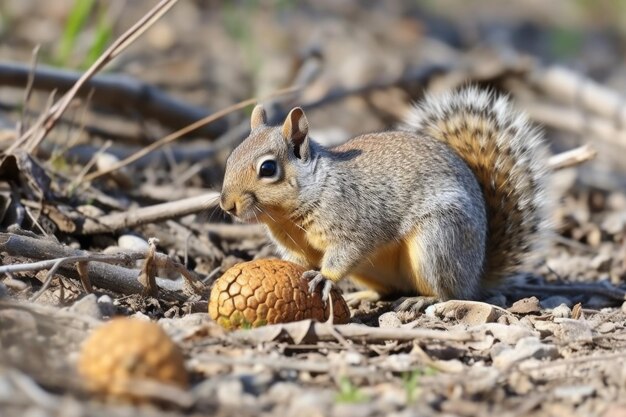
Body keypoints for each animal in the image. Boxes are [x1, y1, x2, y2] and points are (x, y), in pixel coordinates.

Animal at [217, 88, 548, 302]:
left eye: (268, 168)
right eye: (230, 157)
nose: (227, 204)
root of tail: (476, 274)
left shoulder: (354, 223)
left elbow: (346, 252)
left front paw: (325, 277)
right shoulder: (296, 246)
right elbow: (300, 262)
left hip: (437, 242)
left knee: (449, 293)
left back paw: (425, 299)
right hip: (373, 269)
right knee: (387, 290)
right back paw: (361, 296)